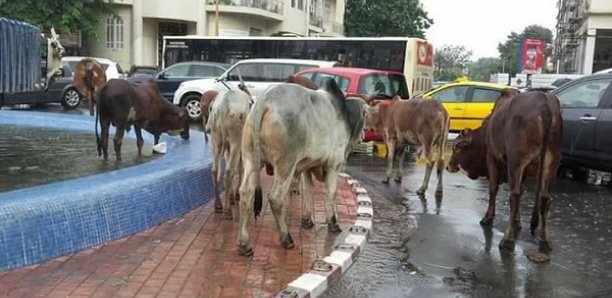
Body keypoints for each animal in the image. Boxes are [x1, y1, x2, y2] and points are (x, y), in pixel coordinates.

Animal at [237, 79, 366, 256]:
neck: (344, 114)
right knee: (275, 198)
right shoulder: (334, 164)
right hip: (286, 164)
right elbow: (331, 192)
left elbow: (309, 192)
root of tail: (265, 101)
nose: (363, 137)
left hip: (250, 159)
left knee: (245, 194)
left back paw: (244, 244)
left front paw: (306, 220)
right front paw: (333, 223)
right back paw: (286, 238)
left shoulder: (307, 167)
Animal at [448, 88, 560, 260]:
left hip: (516, 161)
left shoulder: (492, 159)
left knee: (514, 195)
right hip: (551, 162)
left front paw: (488, 217)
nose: (448, 166)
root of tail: (543, 102)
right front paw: (517, 222)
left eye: (456, 147)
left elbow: (493, 189)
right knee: (544, 198)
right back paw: (545, 241)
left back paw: (507, 240)